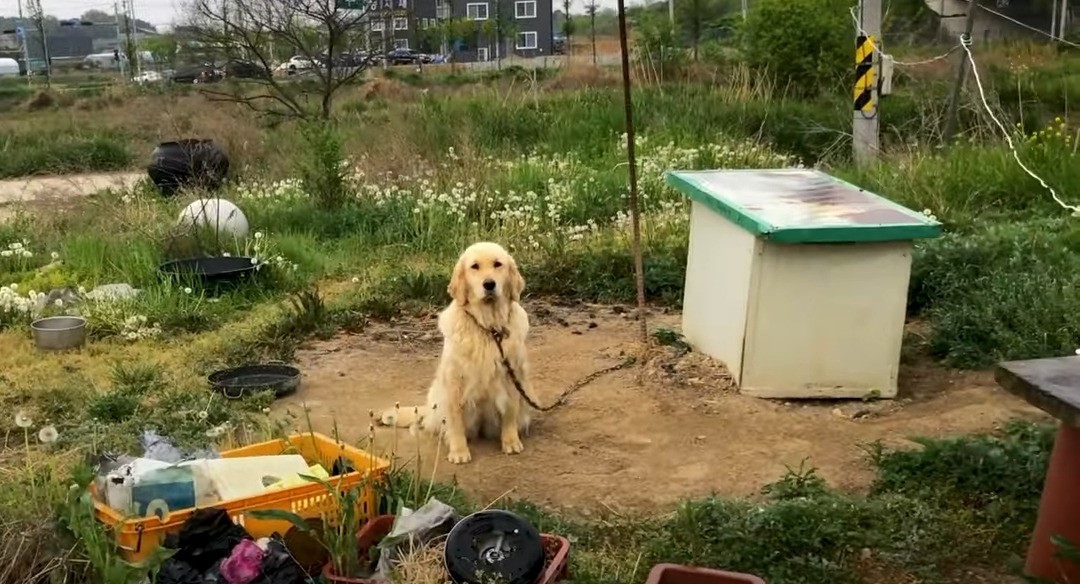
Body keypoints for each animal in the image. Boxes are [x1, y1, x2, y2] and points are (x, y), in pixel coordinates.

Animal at [378, 238, 537, 462]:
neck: (488, 327)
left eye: (498, 264)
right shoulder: (454, 382)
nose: (489, 284)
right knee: (427, 423)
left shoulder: (512, 376)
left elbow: (509, 412)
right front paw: (459, 451)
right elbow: (455, 422)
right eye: (474, 266)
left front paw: (511, 442)